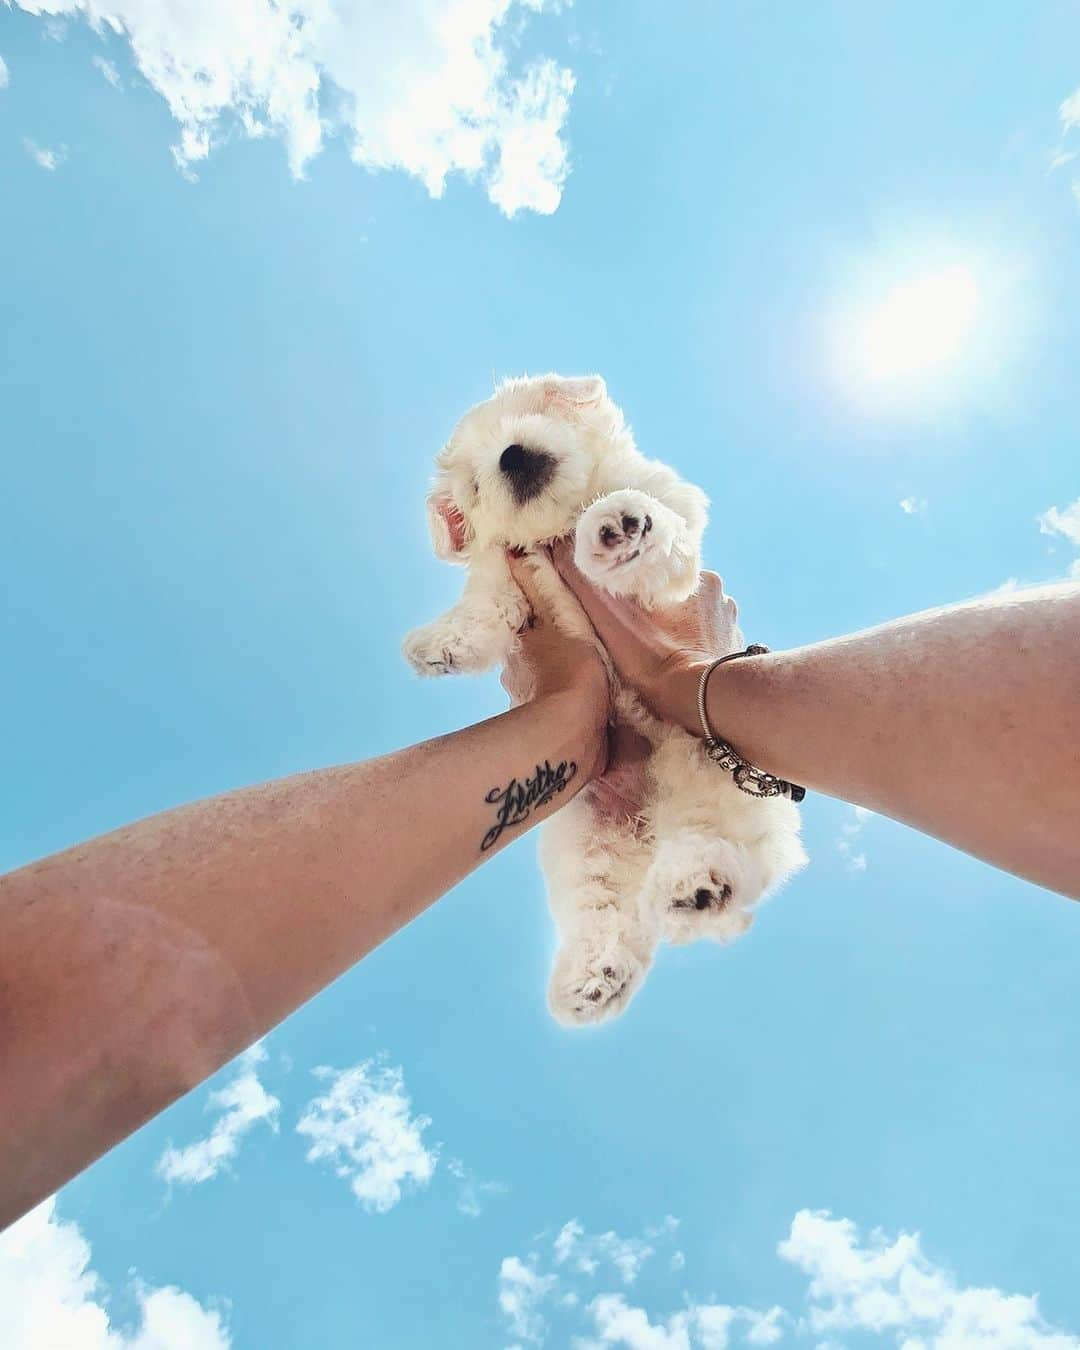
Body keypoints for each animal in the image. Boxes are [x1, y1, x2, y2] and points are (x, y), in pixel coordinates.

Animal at [399, 372, 804, 1020]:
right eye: (475, 482)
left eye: (529, 414)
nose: (511, 454)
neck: (561, 524)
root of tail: (646, 823)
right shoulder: (505, 571)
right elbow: (487, 598)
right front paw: (444, 641)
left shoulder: (676, 518)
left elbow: (660, 526)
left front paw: (617, 523)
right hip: (590, 844)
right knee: (607, 911)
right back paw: (596, 977)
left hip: (709, 776)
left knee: (724, 845)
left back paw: (698, 882)